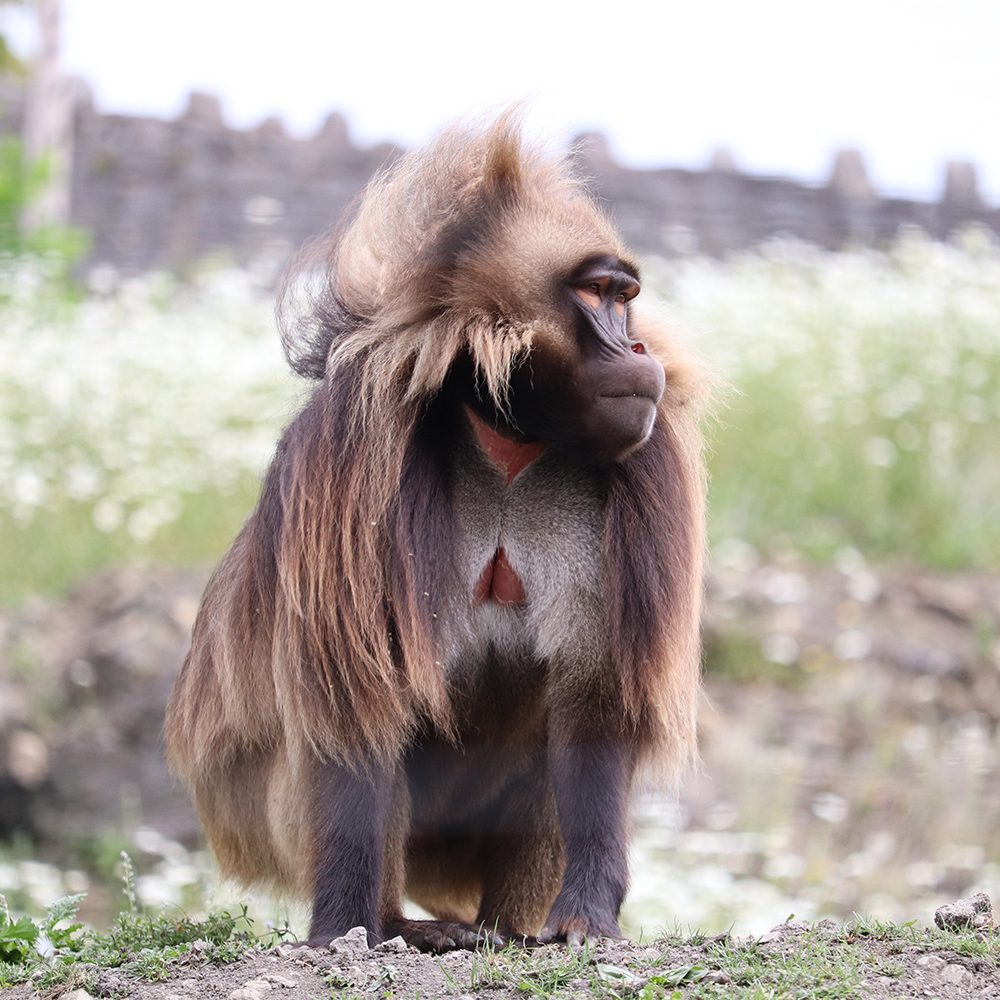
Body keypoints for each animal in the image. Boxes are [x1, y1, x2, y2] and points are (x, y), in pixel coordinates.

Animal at [164, 113, 708, 948]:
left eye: (627, 297)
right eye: (596, 294)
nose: (640, 348)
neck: (508, 437)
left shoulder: (639, 464)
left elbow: (592, 703)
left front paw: (585, 916)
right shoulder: (356, 449)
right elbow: (354, 698)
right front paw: (344, 927)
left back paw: (505, 926)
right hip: (257, 814)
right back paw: (395, 921)